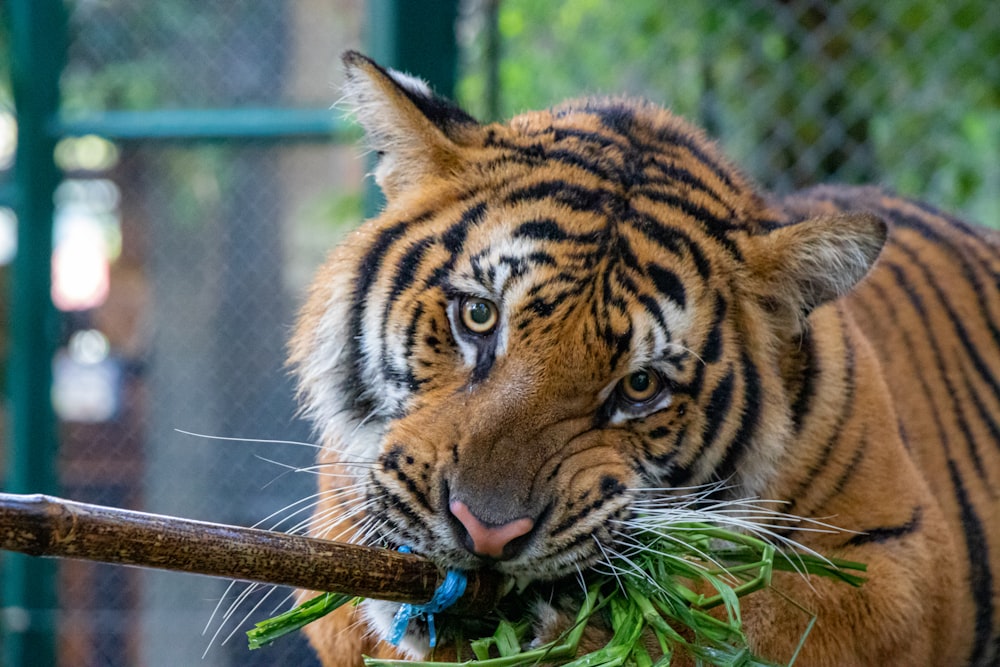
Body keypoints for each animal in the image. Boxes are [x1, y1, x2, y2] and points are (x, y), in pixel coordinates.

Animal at [288, 52, 1000, 667]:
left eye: (639, 386)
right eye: (479, 316)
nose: (485, 535)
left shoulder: (902, 567)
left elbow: (752, 614)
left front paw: (600, 630)